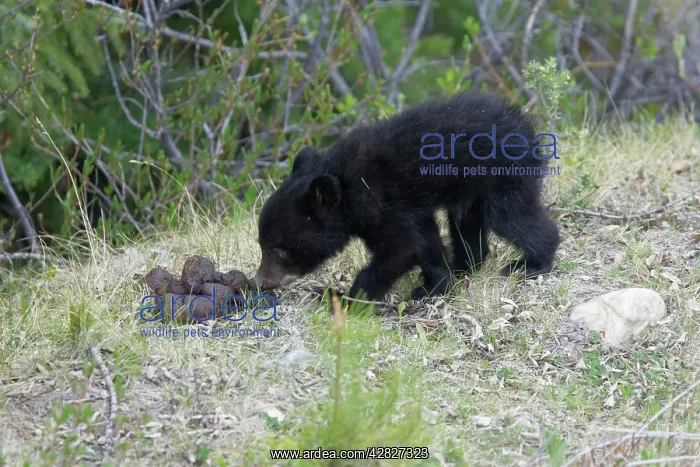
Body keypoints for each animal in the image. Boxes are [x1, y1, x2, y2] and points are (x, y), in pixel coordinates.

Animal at [254, 91, 560, 302]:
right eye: (262, 244)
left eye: (279, 250)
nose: (260, 281)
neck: (348, 185)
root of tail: (526, 124)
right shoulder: (410, 210)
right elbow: (425, 241)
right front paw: (435, 285)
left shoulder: (381, 205)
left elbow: (401, 249)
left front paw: (346, 298)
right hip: (471, 190)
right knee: (467, 226)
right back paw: (466, 266)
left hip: (503, 177)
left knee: (512, 217)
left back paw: (531, 264)